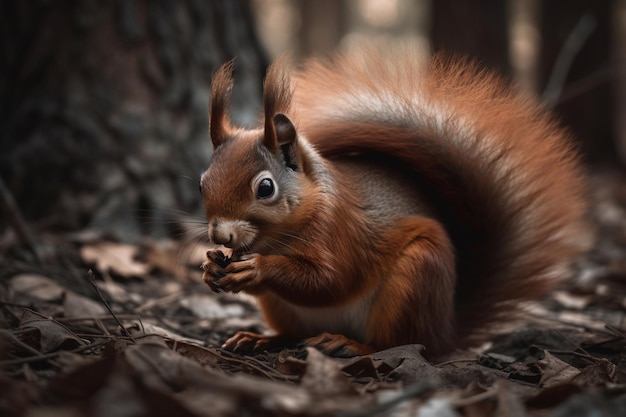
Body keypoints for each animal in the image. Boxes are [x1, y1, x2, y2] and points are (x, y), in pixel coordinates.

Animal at [199, 45, 584, 358]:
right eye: (203, 183)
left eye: (265, 188)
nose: (220, 236)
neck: (277, 237)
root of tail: (446, 329)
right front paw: (211, 266)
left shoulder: (340, 229)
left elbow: (329, 280)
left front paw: (256, 268)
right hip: (286, 309)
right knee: (294, 333)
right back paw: (261, 338)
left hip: (416, 276)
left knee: (401, 342)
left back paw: (350, 344)